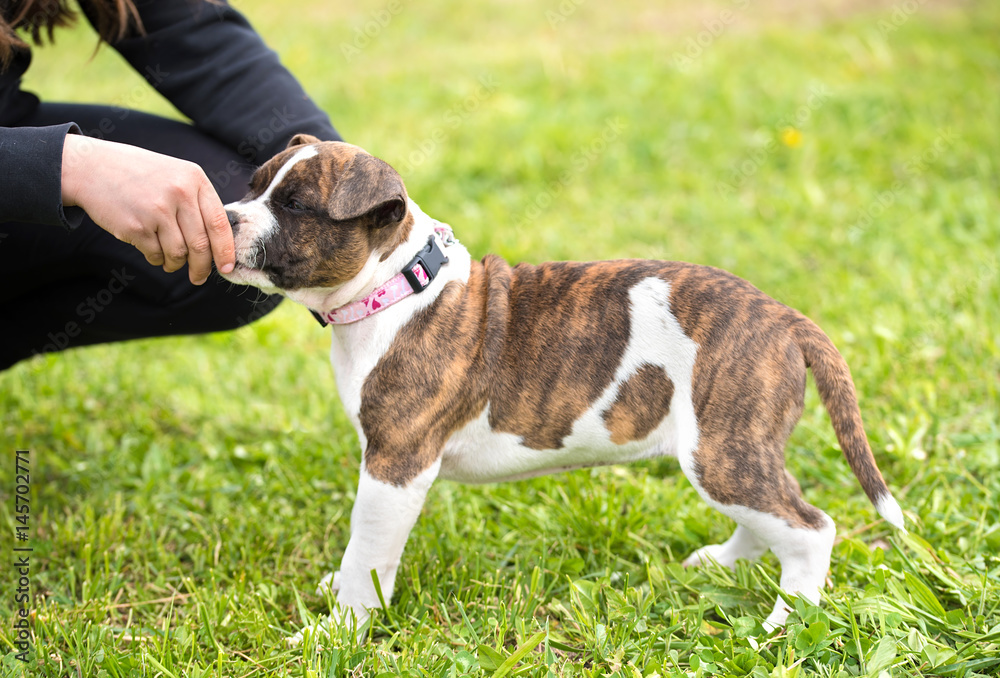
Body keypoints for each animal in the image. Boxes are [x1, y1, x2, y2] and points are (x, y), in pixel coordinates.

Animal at [221, 134, 908, 636]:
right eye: (254, 186)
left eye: (294, 206)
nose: (223, 216)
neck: (397, 285)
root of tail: (786, 317)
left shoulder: (395, 465)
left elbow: (368, 554)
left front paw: (337, 630)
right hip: (732, 449)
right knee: (774, 514)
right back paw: (724, 563)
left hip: (722, 447)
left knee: (811, 529)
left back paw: (787, 623)